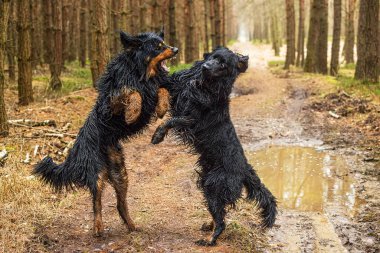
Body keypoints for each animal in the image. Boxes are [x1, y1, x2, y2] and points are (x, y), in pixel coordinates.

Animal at [33, 30, 178, 237]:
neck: (140, 73)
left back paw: (132, 226)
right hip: (97, 172)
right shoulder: (110, 105)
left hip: (120, 173)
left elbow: (162, 89)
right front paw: (132, 113)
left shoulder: (154, 86)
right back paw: (98, 228)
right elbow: (130, 92)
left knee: (120, 204)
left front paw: (161, 107)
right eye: (157, 47)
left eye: (163, 43)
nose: (176, 49)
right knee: (97, 202)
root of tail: (74, 151)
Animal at [151, 47, 276, 245]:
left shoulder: (191, 119)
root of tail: (245, 170)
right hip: (207, 182)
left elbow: (171, 120)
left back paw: (210, 240)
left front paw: (158, 135)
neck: (203, 84)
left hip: (213, 185)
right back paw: (208, 226)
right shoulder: (177, 85)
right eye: (213, 57)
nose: (206, 67)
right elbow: (164, 79)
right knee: (220, 213)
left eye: (223, 65)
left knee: (222, 220)